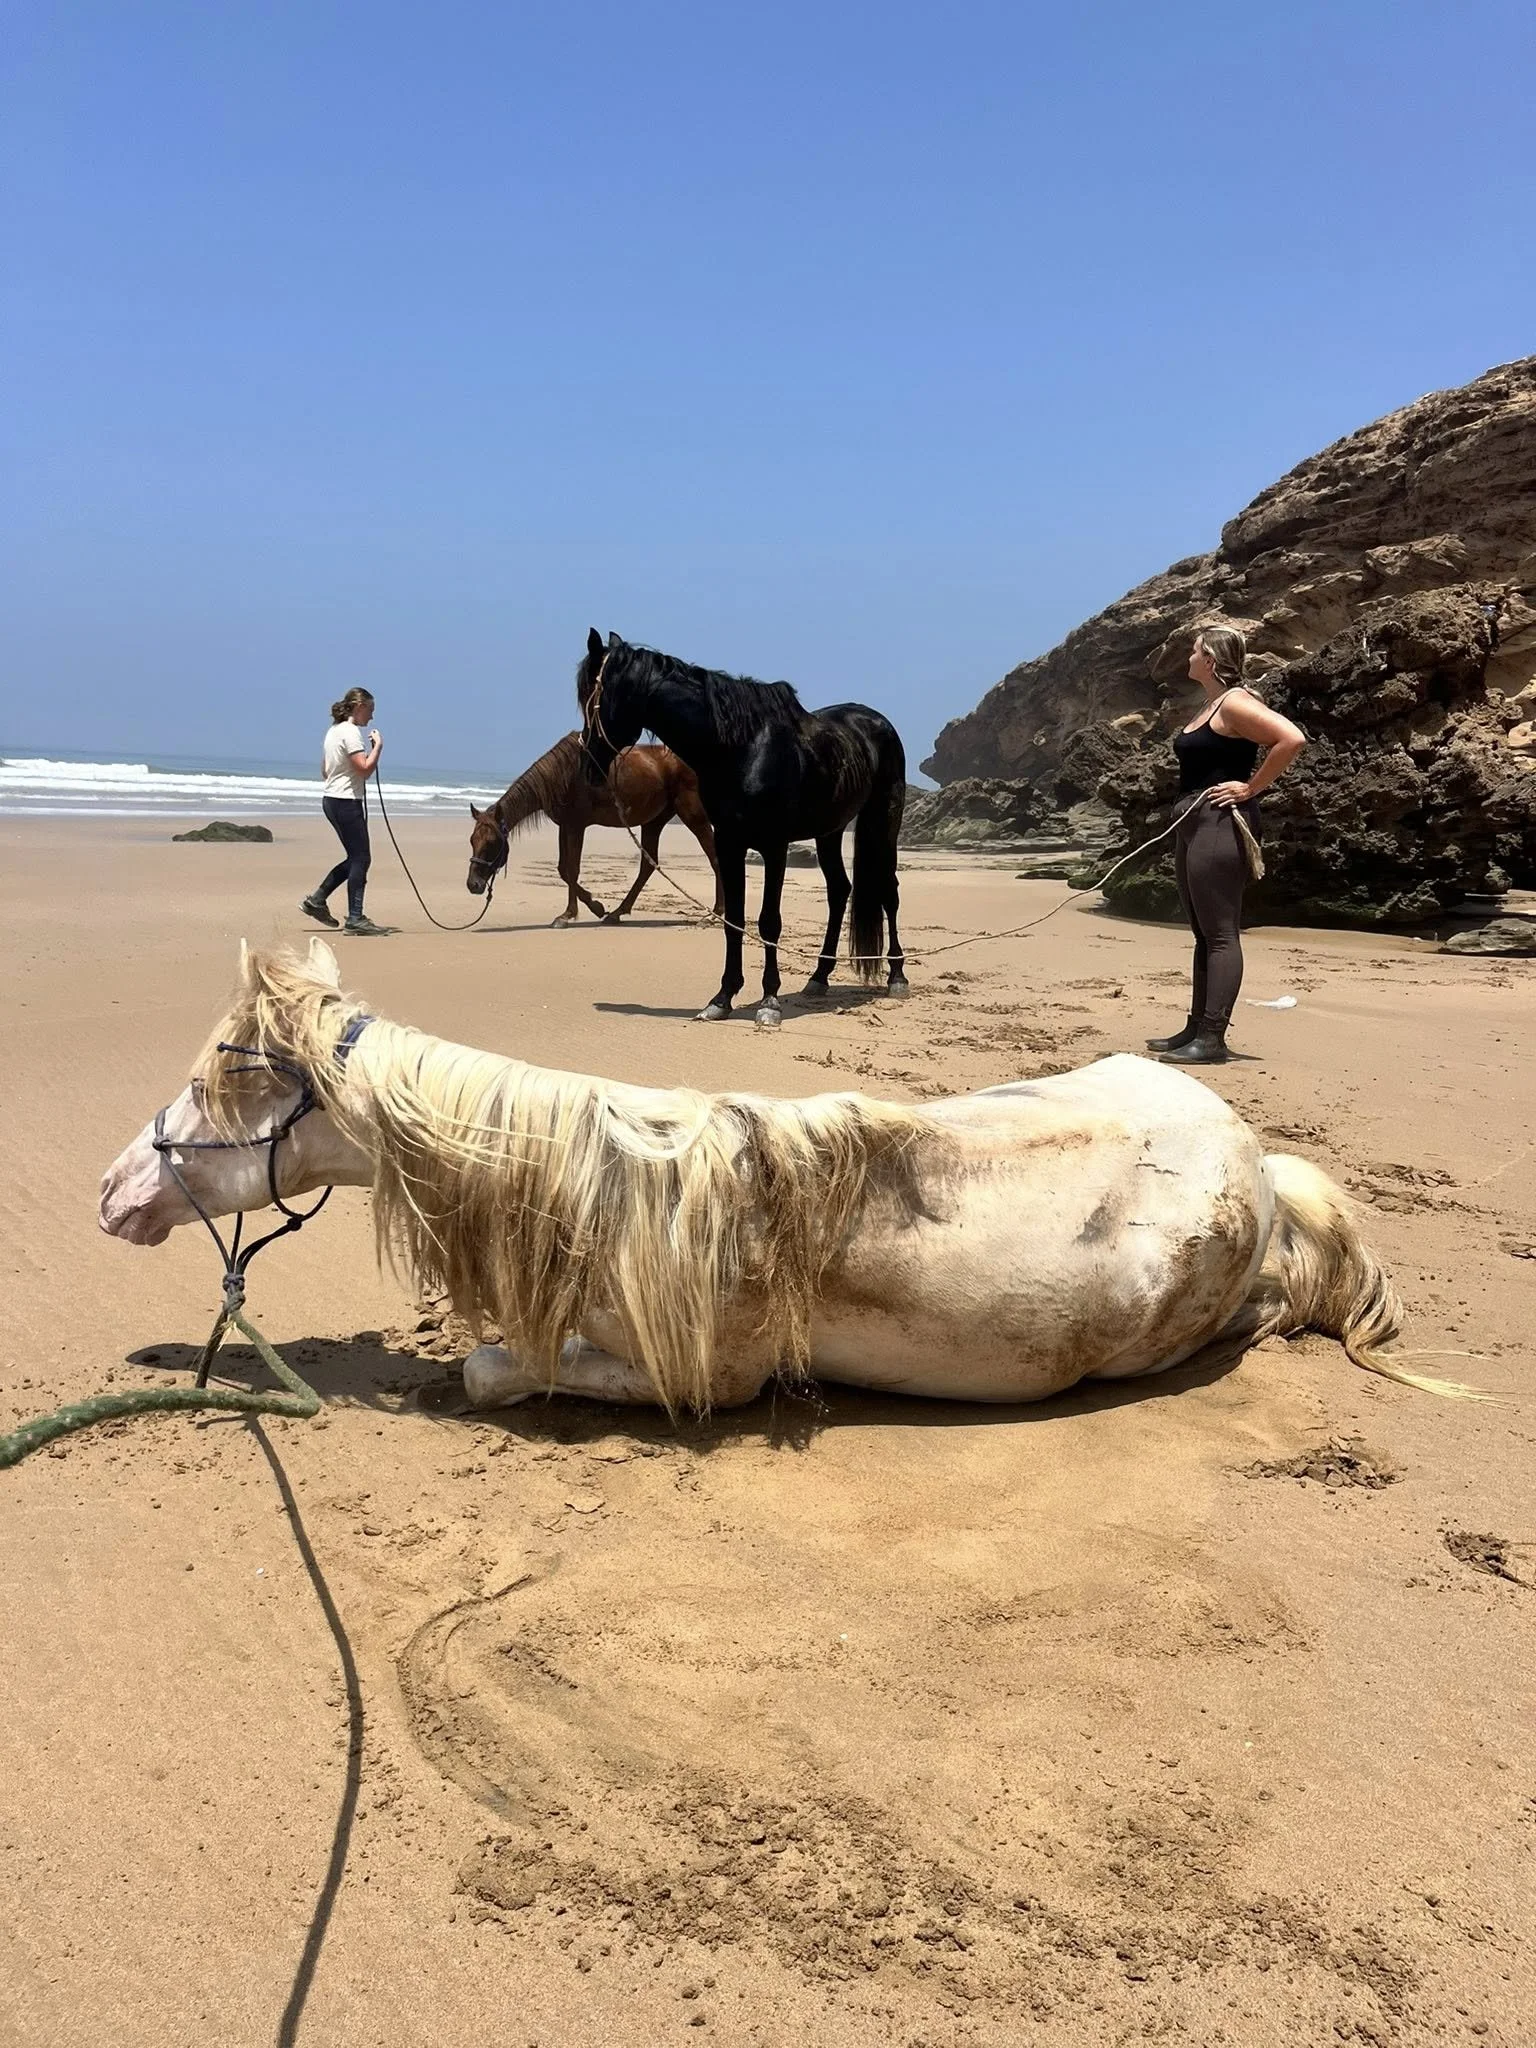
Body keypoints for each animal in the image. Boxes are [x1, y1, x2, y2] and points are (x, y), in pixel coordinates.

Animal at [100, 941, 1471, 1420]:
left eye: (214, 1081)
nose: (111, 1190)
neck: (624, 1197)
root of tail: (1250, 1143)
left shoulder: (705, 1376)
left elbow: (499, 1369)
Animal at [467, 731, 722, 926]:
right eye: (472, 841)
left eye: (492, 843)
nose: (473, 885)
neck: (564, 774)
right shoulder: (565, 826)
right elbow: (563, 869)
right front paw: (595, 907)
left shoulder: (576, 826)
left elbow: (572, 869)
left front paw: (569, 915)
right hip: (653, 822)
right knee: (647, 866)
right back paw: (617, 913)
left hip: (693, 815)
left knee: (714, 858)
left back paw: (716, 913)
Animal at [577, 628, 908, 1027]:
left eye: (591, 693)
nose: (589, 764)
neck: (741, 749)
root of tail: (877, 722)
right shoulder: (729, 843)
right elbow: (733, 919)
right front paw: (722, 998)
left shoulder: (774, 846)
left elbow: (768, 921)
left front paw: (769, 1002)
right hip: (830, 830)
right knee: (839, 890)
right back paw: (819, 977)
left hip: (885, 818)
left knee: (888, 890)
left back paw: (897, 977)